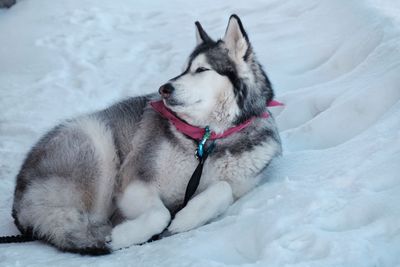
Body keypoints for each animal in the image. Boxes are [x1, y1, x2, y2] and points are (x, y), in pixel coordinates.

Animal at [10, 14, 284, 255]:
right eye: (183, 69)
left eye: (201, 69)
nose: (164, 88)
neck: (206, 140)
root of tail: (19, 198)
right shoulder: (133, 181)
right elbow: (160, 214)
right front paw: (124, 236)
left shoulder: (240, 182)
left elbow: (223, 189)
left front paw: (187, 217)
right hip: (97, 146)